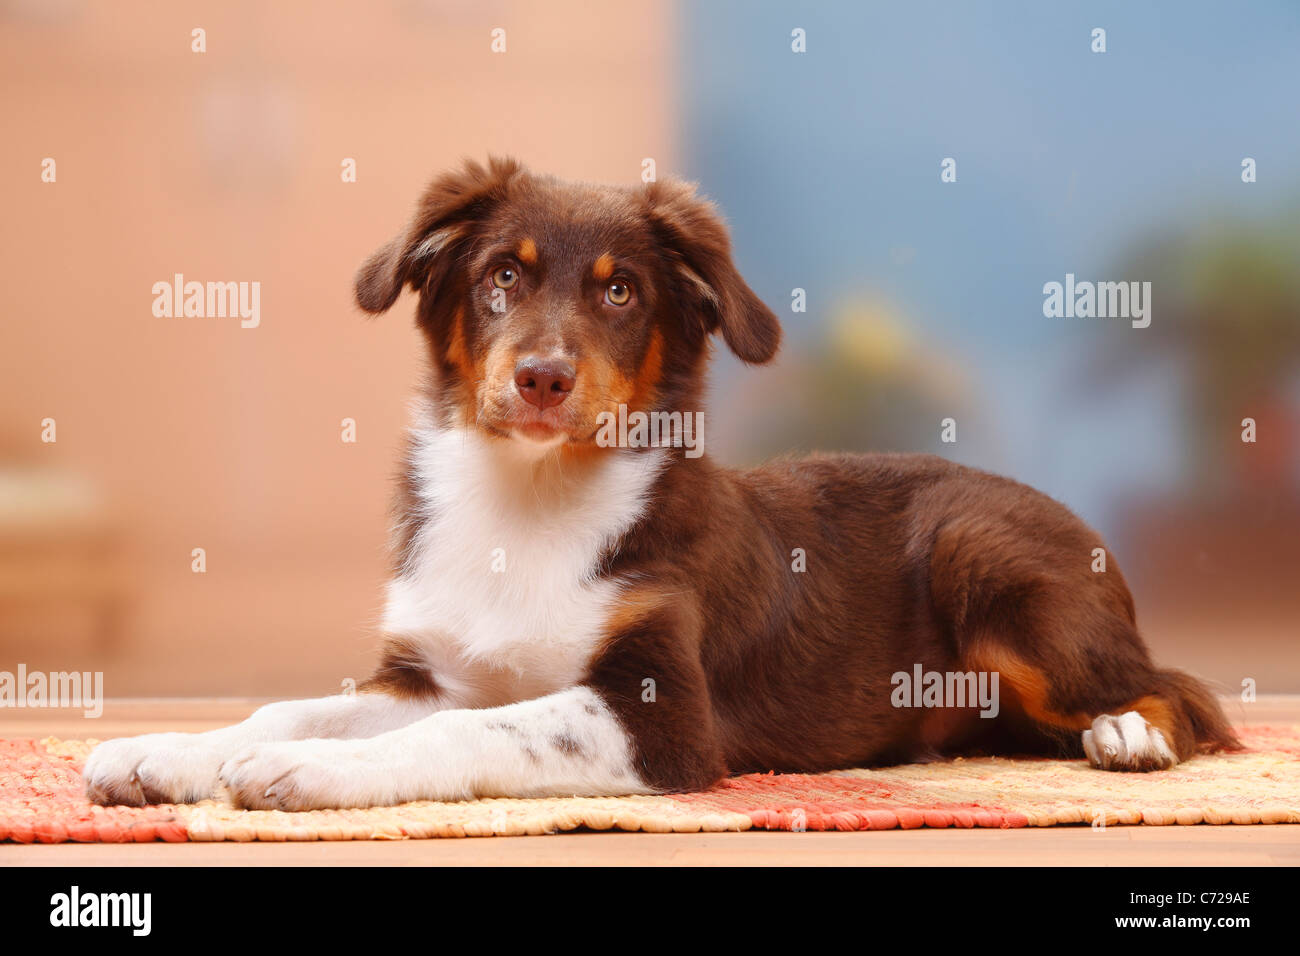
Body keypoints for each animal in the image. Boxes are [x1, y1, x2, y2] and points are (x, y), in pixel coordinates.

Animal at [81, 158, 1237, 816]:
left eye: (622, 292)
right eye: (501, 275)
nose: (543, 377)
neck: (528, 500)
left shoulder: (665, 714)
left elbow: (474, 732)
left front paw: (304, 777)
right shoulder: (429, 670)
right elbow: (293, 705)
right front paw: (164, 752)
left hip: (988, 564)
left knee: (1182, 686)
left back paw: (1128, 734)